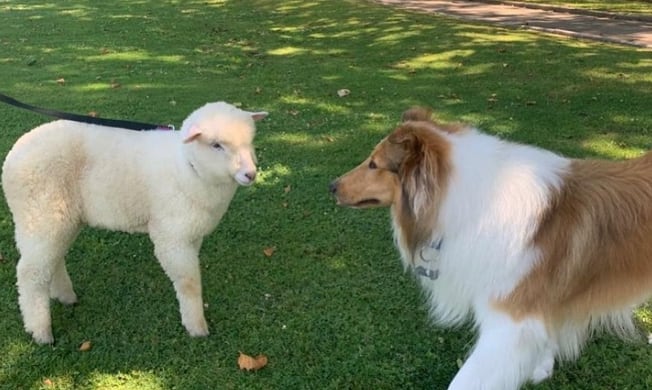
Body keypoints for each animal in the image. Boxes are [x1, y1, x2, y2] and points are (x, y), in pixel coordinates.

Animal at [1, 101, 268, 344]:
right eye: (216, 145)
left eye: (249, 142)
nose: (250, 174)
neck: (187, 167)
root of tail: (12, 157)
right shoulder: (172, 237)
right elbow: (189, 282)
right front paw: (197, 327)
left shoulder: (192, 234)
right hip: (39, 215)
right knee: (30, 273)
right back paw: (40, 332)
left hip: (60, 219)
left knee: (51, 259)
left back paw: (65, 296)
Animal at [332, 106, 652, 386]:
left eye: (374, 164)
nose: (331, 186)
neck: (473, 202)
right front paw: (542, 366)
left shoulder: (508, 325)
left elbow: (465, 382)